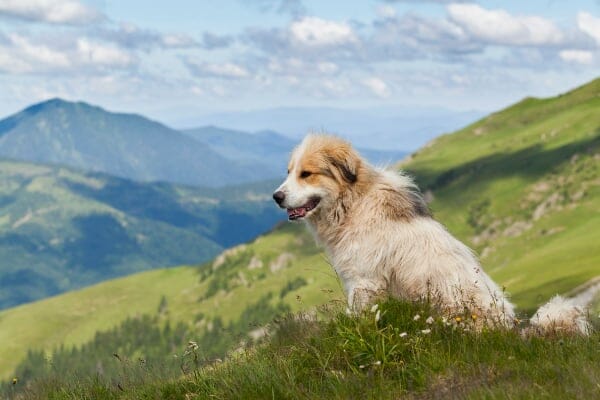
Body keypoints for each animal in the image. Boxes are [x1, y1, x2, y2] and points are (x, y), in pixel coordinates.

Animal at [276, 134, 592, 334]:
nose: (276, 197)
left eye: (307, 174)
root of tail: (512, 332)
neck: (354, 202)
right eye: (289, 172)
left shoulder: (364, 282)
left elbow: (359, 316)